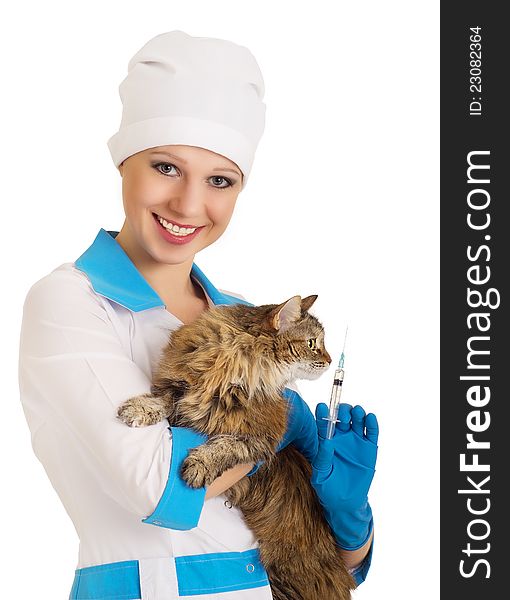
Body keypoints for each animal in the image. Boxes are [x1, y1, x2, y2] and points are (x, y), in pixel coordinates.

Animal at [116, 296, 354, 600]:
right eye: (313, 343)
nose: (330, 360)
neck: (232, 366)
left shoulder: (262, 440)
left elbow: (224, 445)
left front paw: (198, 466)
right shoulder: (182, 391)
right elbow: (164, 399)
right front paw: (140, 407)